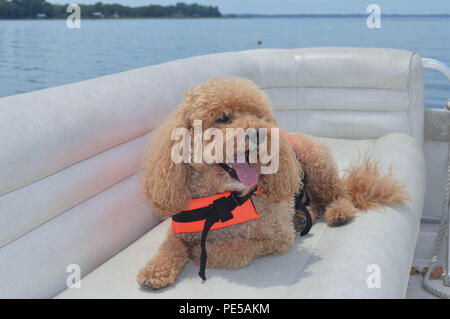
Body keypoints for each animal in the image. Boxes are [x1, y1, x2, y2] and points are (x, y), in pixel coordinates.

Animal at [134, 75, 408, 290]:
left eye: (258, 115)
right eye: (223, 117)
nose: (258, 132)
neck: (222, 201)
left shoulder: (276, 238)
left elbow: (235, 249)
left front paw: (200, 253)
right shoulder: (178, 229)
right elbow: (169, 246)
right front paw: (154, 270)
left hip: (317, 164)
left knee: (339, 195)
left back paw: (338, 212)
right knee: (316, 205)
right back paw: (303, 216)